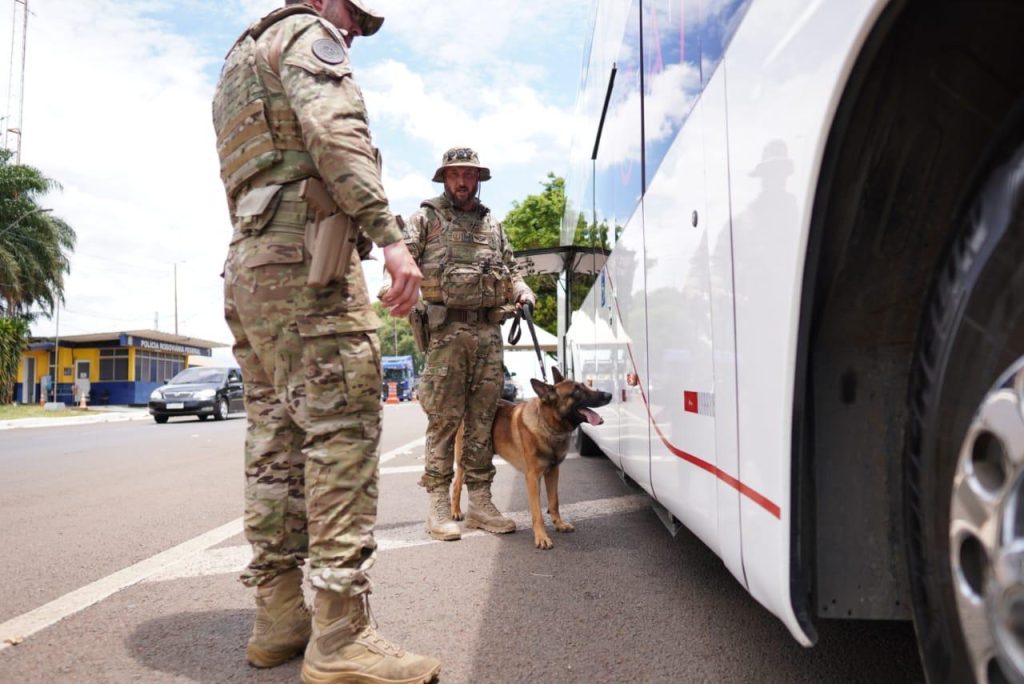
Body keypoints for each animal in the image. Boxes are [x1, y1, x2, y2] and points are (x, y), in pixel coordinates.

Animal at [452, 366, 610, 548]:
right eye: (577, 391)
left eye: (584, 386)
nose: (609, 395)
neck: (548, 426)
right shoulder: (533, 478)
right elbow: (537, 512)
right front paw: (541, 536)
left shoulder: (553, 472)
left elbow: (554, 501)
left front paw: (559, 524)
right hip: (463, 461)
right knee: (456, 485)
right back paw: (455, 511)